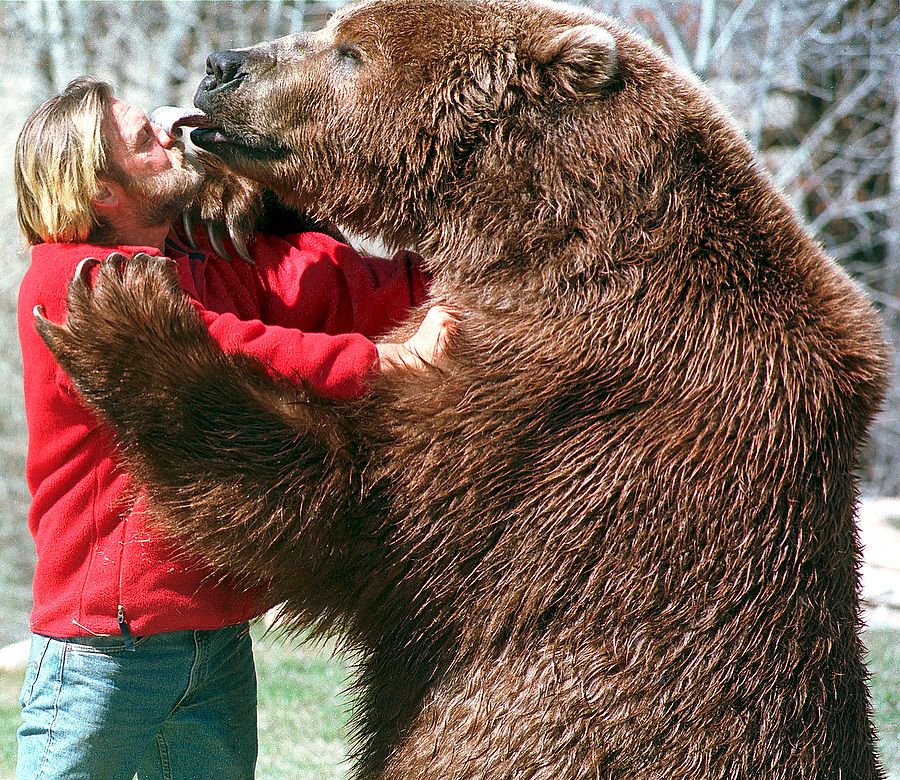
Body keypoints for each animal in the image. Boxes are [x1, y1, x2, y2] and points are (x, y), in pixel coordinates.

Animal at [35, 1, 884, 780]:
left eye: (350, 49)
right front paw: (226, 204)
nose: (221, 64)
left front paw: (123, 312)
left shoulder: (569, 409)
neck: (541, 232)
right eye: (332, 24)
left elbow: (351, 501)